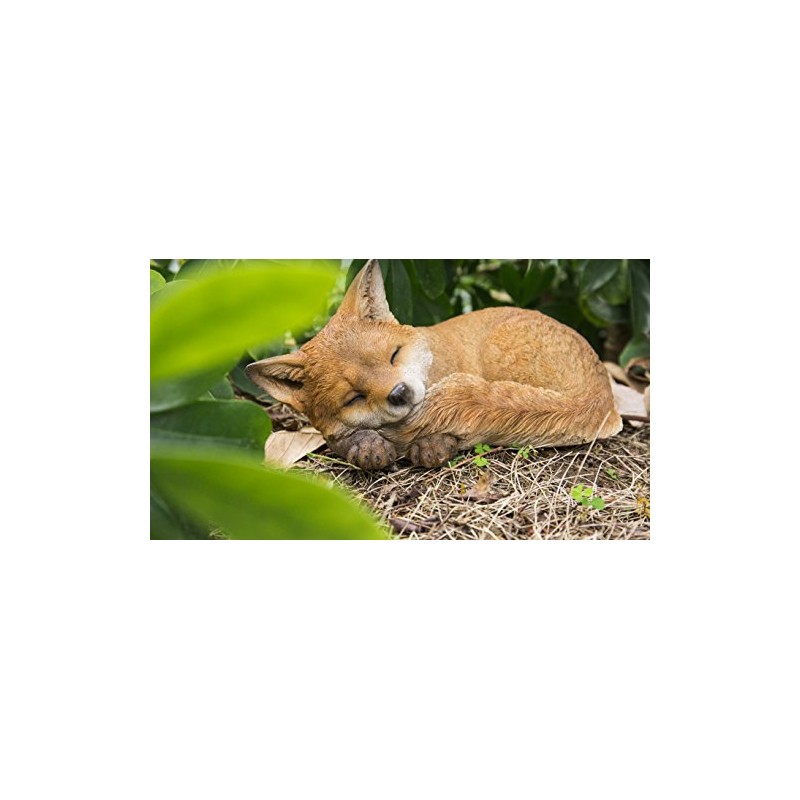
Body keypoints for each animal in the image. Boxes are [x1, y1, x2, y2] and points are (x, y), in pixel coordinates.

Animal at [246, 260, 622, 470]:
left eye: (393, 355)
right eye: (354, 397)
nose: (399, 393)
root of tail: (599, 393)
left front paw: (433, 444)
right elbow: (346, 438)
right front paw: (366, 445)